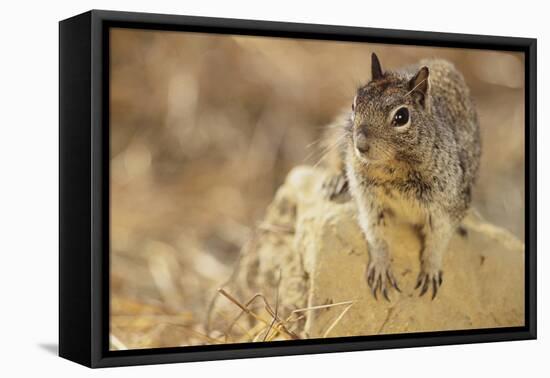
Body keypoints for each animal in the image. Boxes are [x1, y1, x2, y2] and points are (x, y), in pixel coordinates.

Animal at [324, 53, 484, 302]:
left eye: (401, 117)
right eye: (354, 104)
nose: (360, 145)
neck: (393, 167)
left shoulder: (446, 205)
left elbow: (438, 240)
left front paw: (430, 270)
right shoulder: (369, 201)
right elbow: (376, 235)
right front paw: (381, 268)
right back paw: (334, 180)